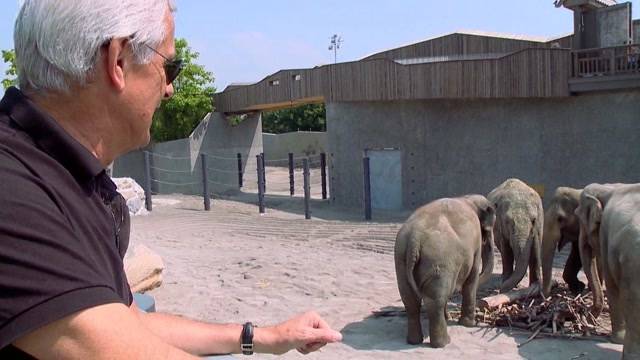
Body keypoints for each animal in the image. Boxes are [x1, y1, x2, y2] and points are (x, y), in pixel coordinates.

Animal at [396, 195, 496, 348]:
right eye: (488, 231)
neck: (469, 199)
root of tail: (414, 238)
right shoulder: (476, 242)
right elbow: (472, 278)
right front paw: (469, 324)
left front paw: (449, 317)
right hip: (438, 260)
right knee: (435, 300)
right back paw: (443, 343)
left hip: (401, 261)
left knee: (410, 300)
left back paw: (414, 341)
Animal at [576, 183, 640, 354]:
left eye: (578, 216)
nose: (587, 319)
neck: (609, 187)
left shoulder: (605, 232)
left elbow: (612, 288)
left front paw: (616, 340)